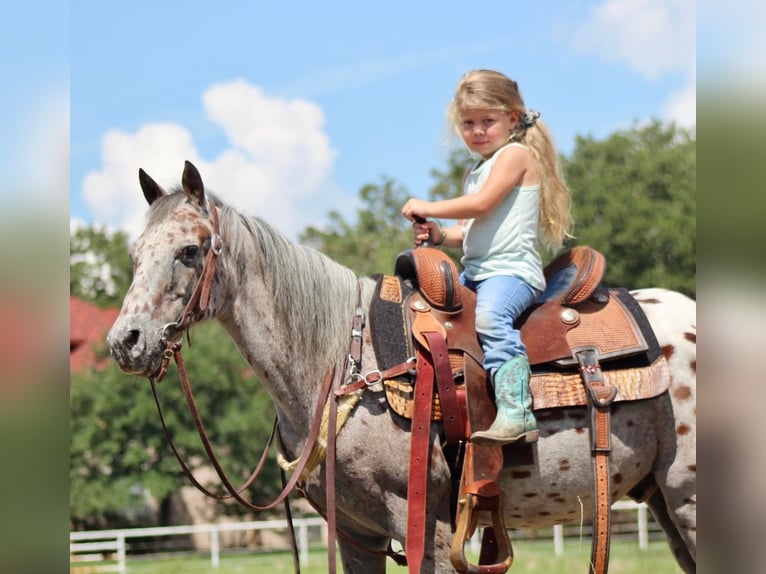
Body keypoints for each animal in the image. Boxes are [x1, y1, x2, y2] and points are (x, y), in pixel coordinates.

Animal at [108, 163, 704, 574]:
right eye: (135, 253)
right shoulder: (356, 533)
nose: (124, 342)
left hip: (688, 498)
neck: (341, 363)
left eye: (190, 250)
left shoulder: (425, 525)